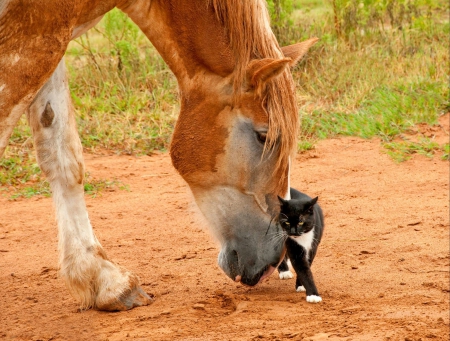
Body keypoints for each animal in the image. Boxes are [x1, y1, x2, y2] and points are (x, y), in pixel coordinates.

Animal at [0, 0, 318, 310]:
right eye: (264, 135)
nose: (275, 260)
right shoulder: (37, 37)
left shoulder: (55, 40)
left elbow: (62, 156)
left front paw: (103, 279)